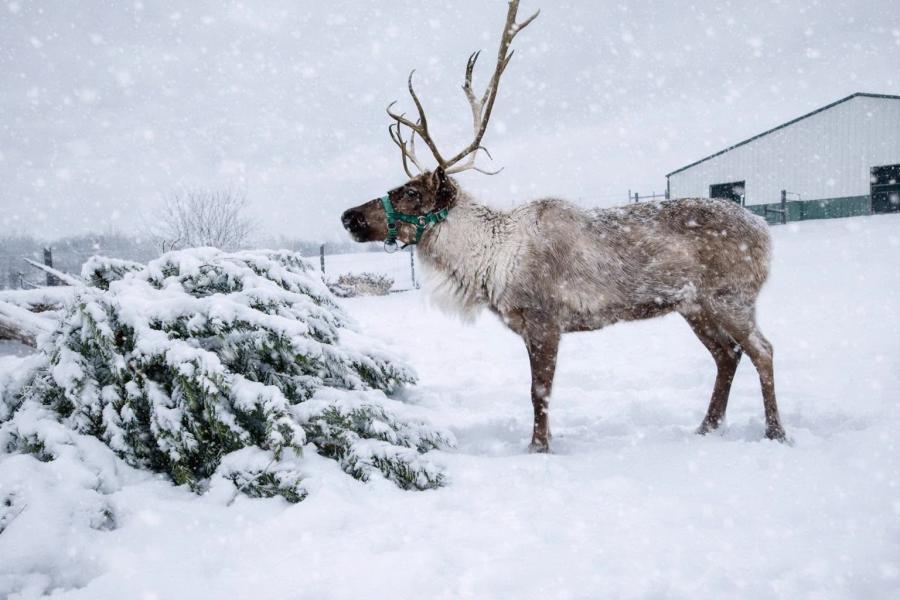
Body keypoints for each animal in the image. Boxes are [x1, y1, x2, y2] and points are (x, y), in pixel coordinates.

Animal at [340, 0, 787, 452]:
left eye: (412, 193)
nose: (348, 216)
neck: (491, 261)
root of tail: (764, 231)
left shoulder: (545, 320)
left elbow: (539, 391)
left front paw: (538, 447)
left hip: (730, 298)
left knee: (762, 350)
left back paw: (776, 432)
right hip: (692, 305)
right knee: (726, 354)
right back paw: (706, 427)